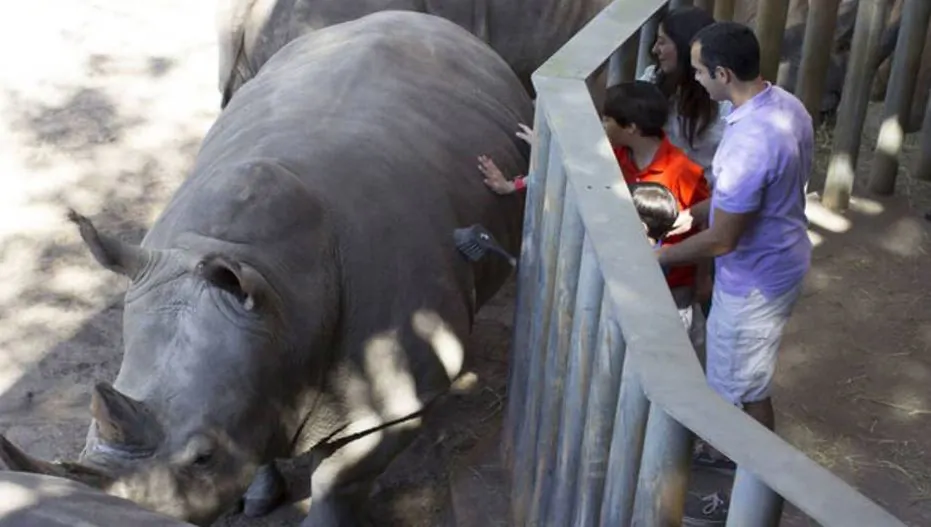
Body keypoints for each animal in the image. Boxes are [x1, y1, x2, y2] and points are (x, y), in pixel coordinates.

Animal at [0, 11, 530, 526]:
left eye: (202, 458)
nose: (123, 515)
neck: (284, 289)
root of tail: (424, 20)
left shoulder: (396, 399)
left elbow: (338, 479)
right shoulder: (254, 343)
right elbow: (255, 430)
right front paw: (256, 500)